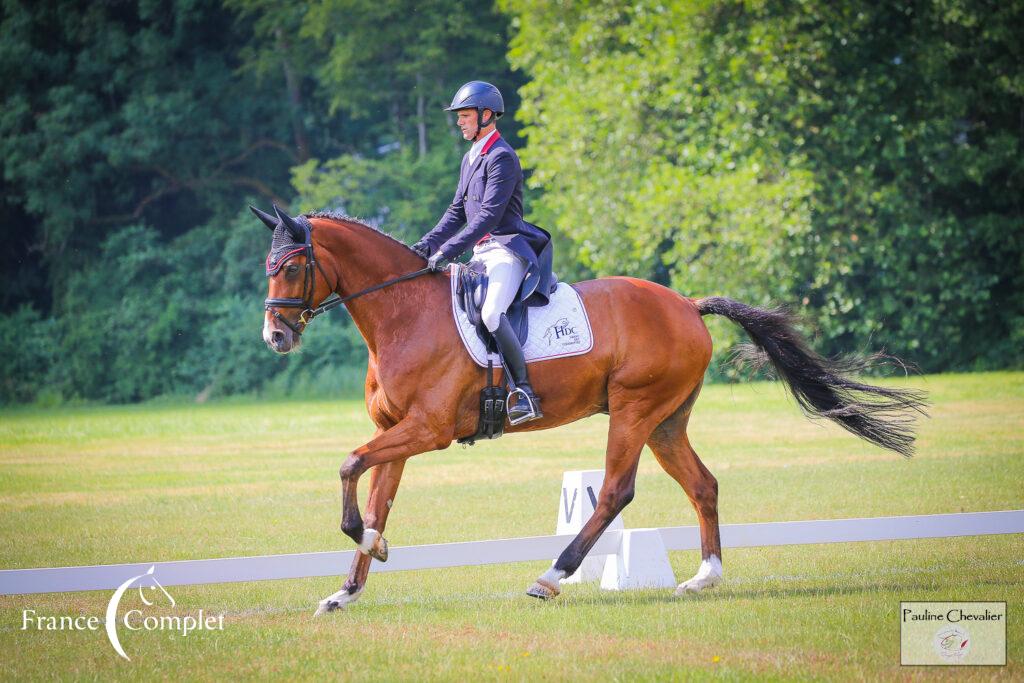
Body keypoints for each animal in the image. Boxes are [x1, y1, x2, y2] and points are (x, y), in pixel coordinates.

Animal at [251, 204, 925, 614]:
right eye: (268, 265)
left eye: (292, 265)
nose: (275, 338)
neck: (403, 314)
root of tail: (686, 304)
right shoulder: (397, 431)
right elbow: (375, 500)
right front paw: (347, 588)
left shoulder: (428, 430)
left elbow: (348, 466)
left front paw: (371, 550)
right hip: (665, 421)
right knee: (702, 484)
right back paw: (703, 577)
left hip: (633, 411)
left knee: (615, 492)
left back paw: (550, 577)